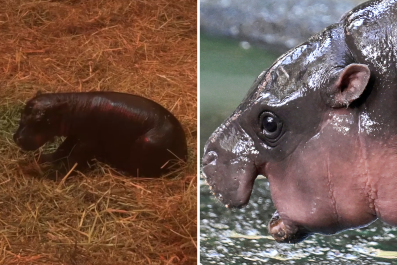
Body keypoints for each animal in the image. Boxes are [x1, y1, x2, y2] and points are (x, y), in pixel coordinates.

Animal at [13, 91, 187, 177]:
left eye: (41, 120)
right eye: (22, 114)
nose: (18, 139)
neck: (72, 109)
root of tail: (184, 155)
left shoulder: (87, 141)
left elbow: (74, 158)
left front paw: (56, 173)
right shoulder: (75, 135)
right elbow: (62, 149)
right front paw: (42, 159)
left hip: (146, 142)